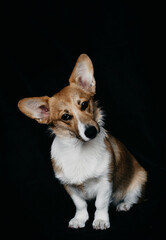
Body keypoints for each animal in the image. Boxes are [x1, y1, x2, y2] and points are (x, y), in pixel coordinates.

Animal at [17, 53, 148, 230]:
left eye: (84, 104)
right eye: (65, 116)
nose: (91, 131)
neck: (78, 149)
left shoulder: (105, 181)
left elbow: (100, 203)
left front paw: (100, 220)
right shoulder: (69, 186)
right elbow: (80, 204)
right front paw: (80, 219)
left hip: (140, 179)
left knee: (133, 198)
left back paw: (124, 205)